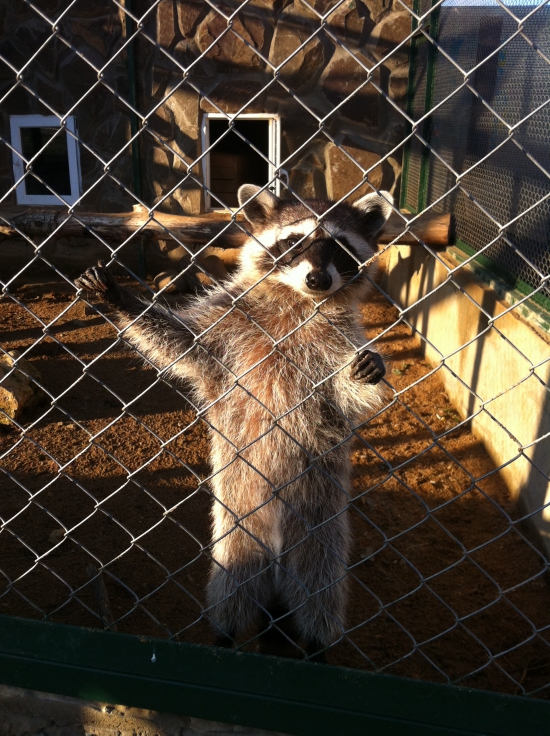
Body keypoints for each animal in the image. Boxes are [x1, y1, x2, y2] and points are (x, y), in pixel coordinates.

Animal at [75, 183, 394, 660]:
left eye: (338, 248)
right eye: (294, 241)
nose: (318, 280)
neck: (299, 302)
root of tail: (277, 559)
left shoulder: (338, 341)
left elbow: (345, 394)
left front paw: (366, 371)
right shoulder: (227, 321)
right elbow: (179, 342)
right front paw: (122, 302)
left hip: (320, 517)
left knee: (319, 587)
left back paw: (318, 643)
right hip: (239, 519)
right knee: (233, 585)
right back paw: (224, 634)